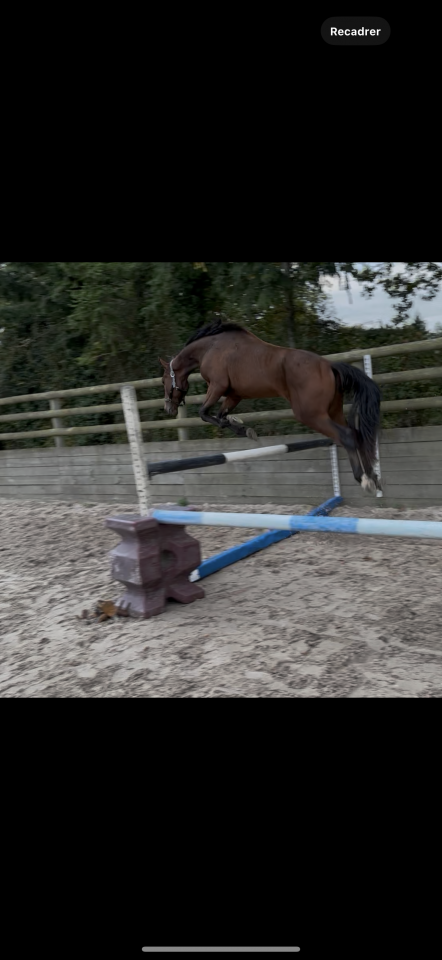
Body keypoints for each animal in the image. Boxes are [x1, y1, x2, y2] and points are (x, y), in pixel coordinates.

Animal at [160, 320, 382, 494]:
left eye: (163, 381)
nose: (168, 409)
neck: (210, 347)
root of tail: (329, 366)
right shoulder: (234, 394)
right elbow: (222, 415)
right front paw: (244, 429)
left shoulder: (217, 386)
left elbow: (204, 413)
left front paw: (237, 426)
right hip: (333, 411)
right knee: (356, 434)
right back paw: (373, 477)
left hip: (310, 414)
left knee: (346, 436)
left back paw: (365, 480)